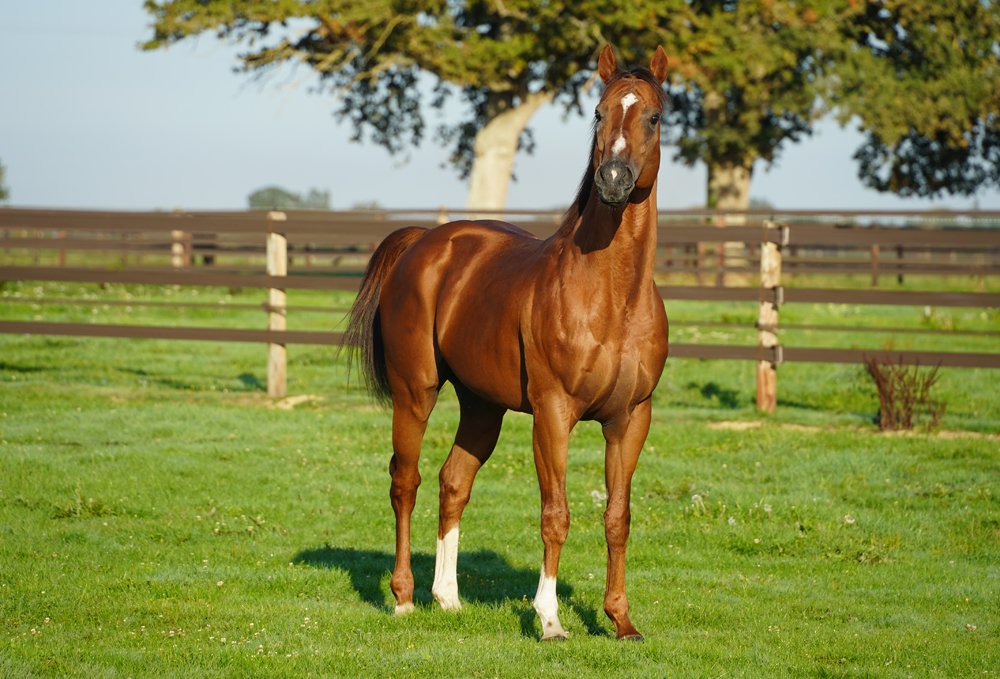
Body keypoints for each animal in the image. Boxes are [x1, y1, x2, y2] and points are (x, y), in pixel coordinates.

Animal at [345, 44, 669, 641]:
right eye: (597, 113)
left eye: (653, 117)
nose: (612, 179)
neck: (611, 297)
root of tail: (423, 243)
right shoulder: (553, 413)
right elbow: (556, 514)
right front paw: (550, 619)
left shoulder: (631, 418)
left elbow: (618, 517)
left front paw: (621, 619)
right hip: (415, 393)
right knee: (406, 481)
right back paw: (403, 598)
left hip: (482, 406)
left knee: (453, 482)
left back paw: (448, 598)